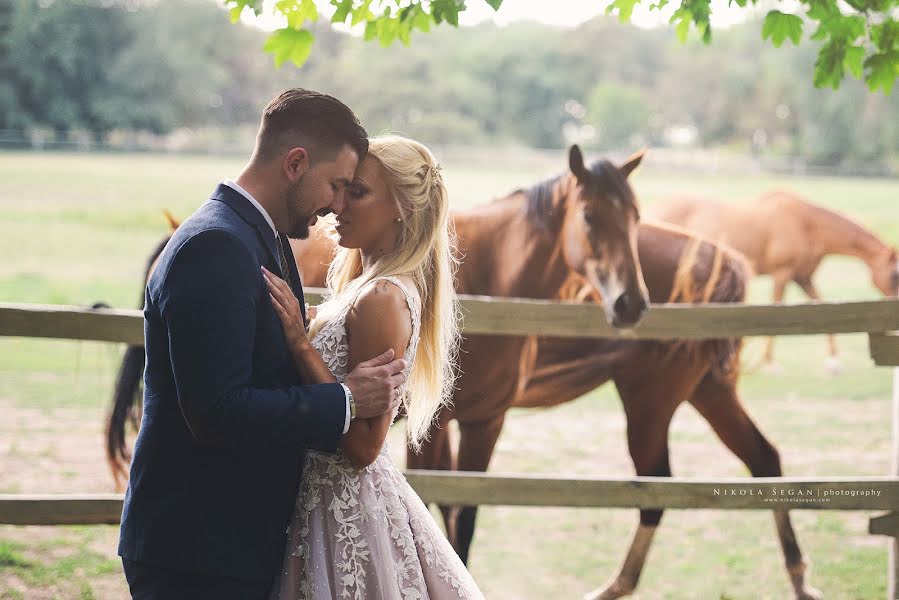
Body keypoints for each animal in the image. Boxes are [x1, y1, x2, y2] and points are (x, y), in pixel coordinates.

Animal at [107, 150, 824, 600]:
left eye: (636, 218)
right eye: (592, 218)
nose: (629, 304)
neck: (494, 271)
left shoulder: (477, 419)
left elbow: (462, 515)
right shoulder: (444, 424)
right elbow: (442, 507)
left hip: (662, 399)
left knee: (681, 480)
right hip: (685, 395)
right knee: (745, 465)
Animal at [652, 191, 899, 370]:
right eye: (895, 275)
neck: (805, 224)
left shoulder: (803, 278)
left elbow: (822, 306)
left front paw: (833, 362)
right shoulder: (783, 274)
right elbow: (776, 310)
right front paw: (769, 363)